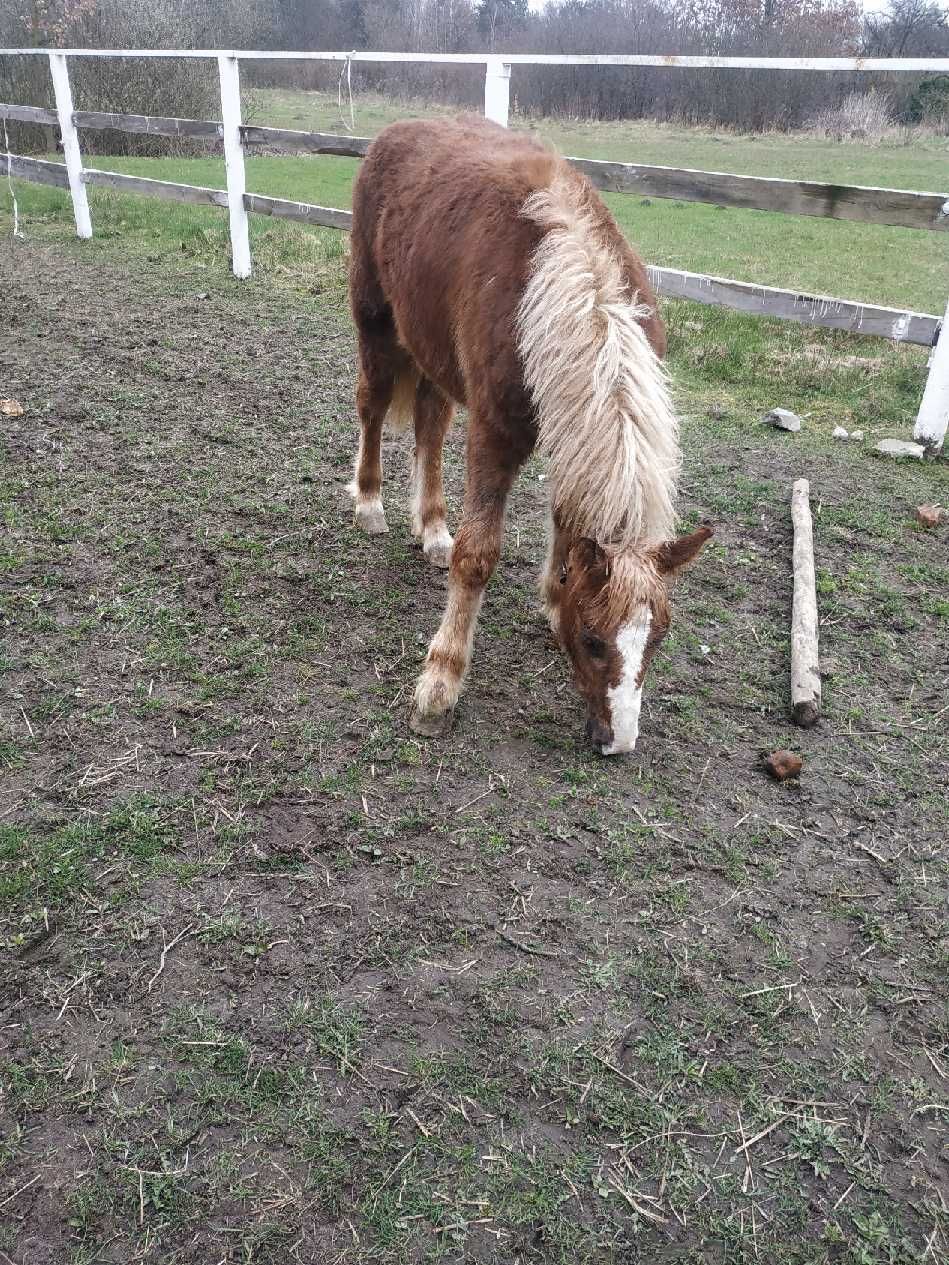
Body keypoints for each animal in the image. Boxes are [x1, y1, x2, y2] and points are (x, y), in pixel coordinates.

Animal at [346, 116, 708, 748]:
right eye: (593, 640)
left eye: (658, 638)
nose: (618, 742)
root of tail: (396, 130)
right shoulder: (495, 434)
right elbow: (478, 555)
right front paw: (440, 684)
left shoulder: (571, 429)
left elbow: (566, 517)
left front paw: (553, 595)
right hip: (376, 319)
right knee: (373, 405)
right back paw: (370, 502)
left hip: (434, 349)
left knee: (430, 426)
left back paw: (432, 528)